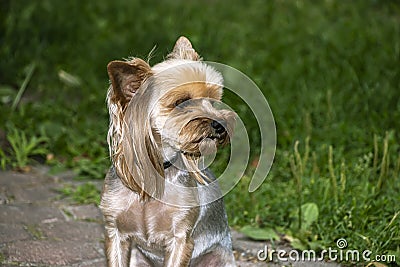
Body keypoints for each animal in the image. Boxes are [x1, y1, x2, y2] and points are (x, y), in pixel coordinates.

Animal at [101, 36, 238, 267]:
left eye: (212, 101)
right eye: (181, 102)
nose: (220, 124)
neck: (159, 166)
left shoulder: (180, 238)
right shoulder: (116, 233)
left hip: (218, 257)